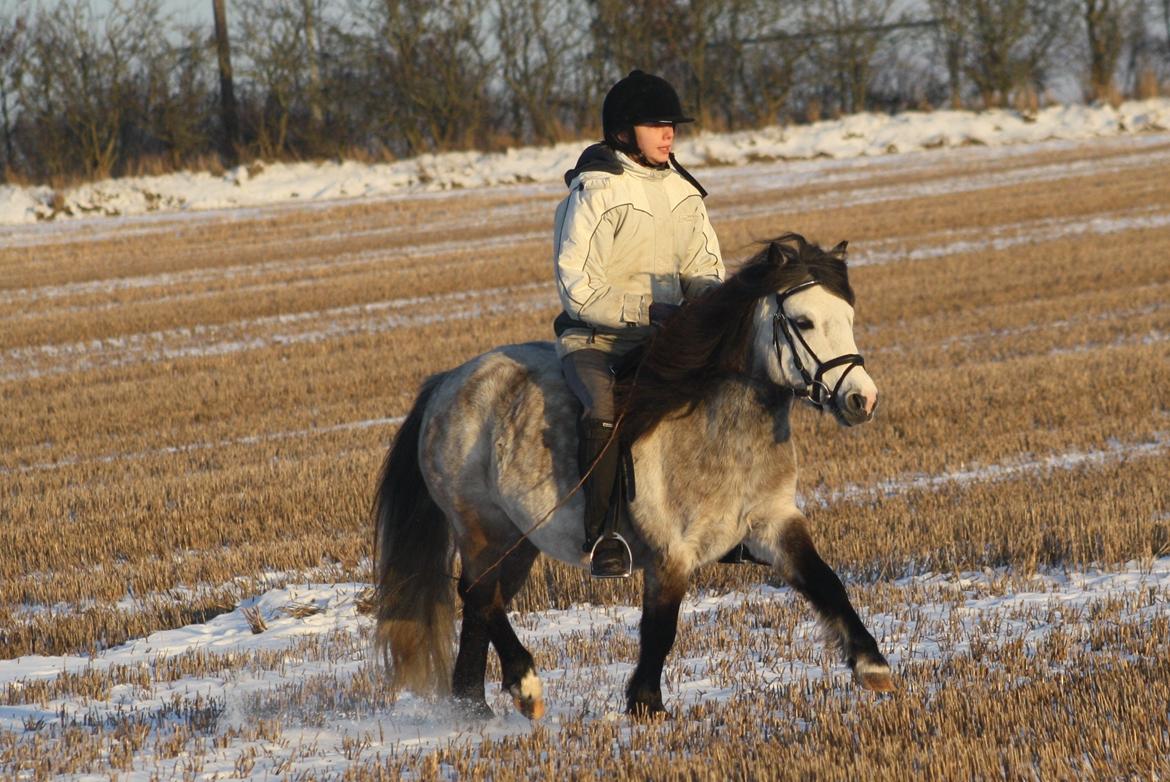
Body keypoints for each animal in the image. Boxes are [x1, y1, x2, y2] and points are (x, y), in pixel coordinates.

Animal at [374, 231, 893, 721]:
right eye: (803, 322)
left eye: (847, 316)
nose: (861, 400)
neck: (723, 428)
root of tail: (449, 382)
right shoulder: (671, 553)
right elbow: (660, 628)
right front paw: (647, 705)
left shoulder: (775, 524)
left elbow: (826, 582)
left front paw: (873, 666)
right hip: (483, 526)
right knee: (478, 593)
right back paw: (525, 685)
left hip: (520, 541)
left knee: (483, 602)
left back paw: (474, 705)